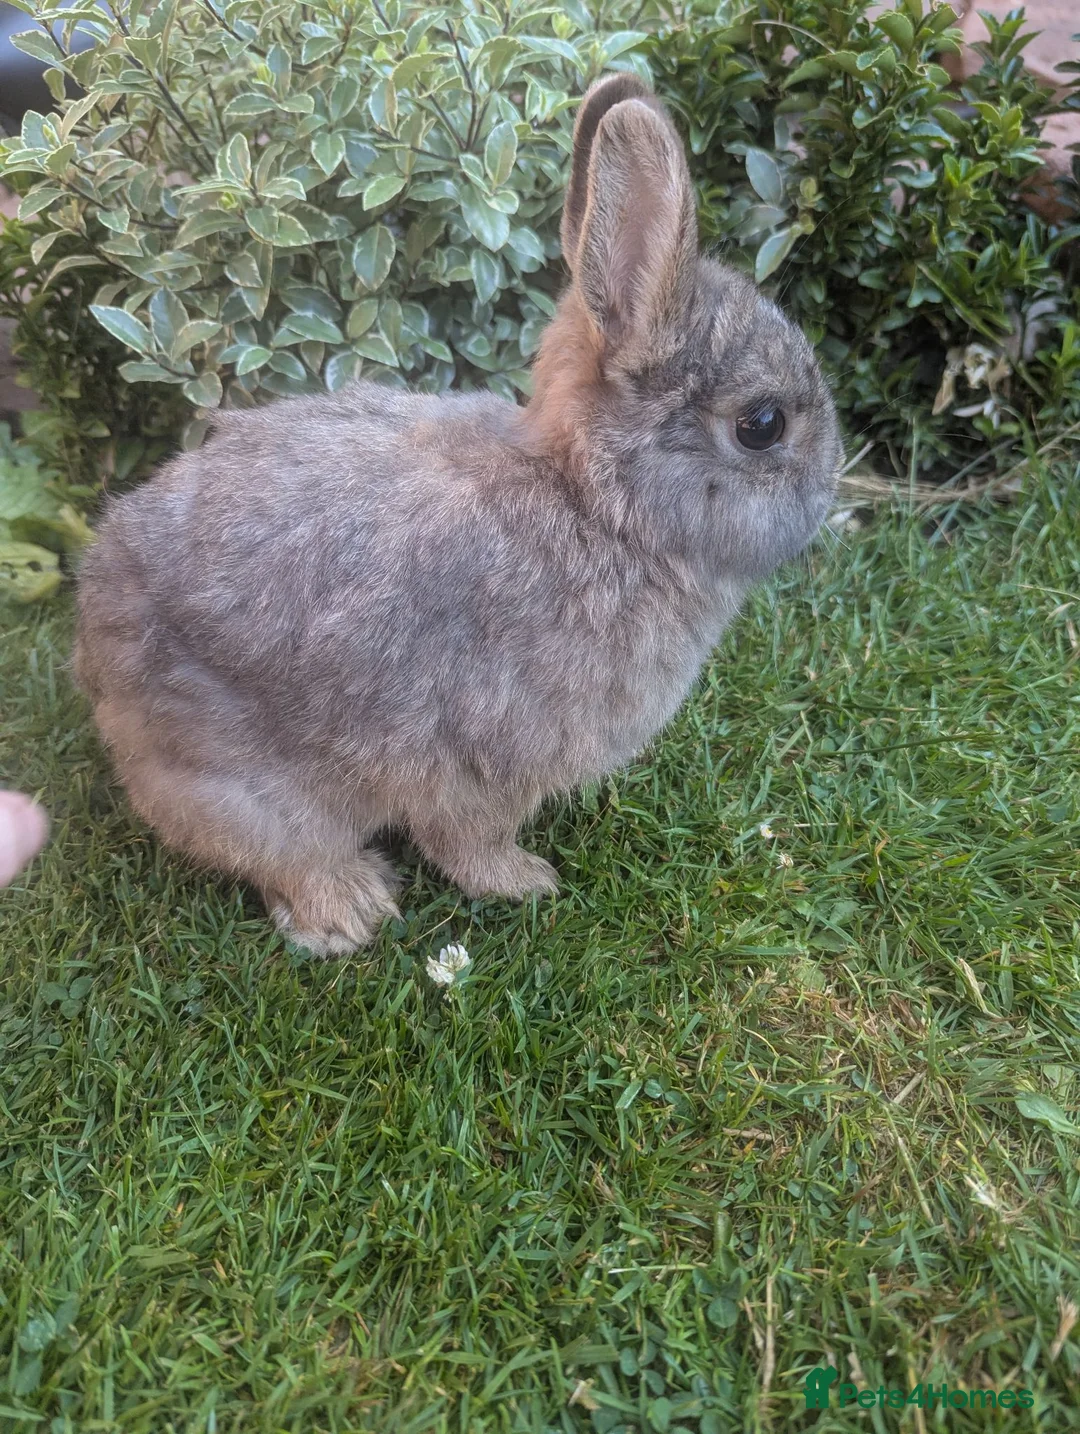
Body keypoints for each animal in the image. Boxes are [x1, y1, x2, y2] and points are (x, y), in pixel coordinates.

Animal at [73, 73, 841, 956]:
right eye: (763, 425)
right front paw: (528, 883)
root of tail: (93, 635)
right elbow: (469, 841)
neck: (597, 508)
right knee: (281, 856)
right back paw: (352, 909)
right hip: (247, 786)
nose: (831, 486)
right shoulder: (484, 763)